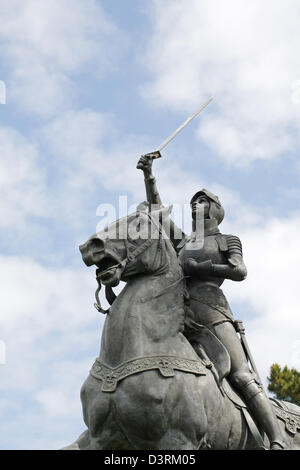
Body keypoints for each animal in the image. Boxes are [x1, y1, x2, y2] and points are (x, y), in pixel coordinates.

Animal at [64, 207, 300, 450]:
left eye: (138, 224)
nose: (89, 246)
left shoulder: (179, 438)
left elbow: (238, 270)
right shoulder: (98, 438)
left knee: (246, 380)